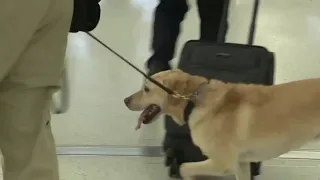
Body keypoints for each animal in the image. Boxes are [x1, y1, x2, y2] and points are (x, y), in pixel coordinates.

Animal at [124, 69, 320, 180]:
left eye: (146, 89)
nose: (125, 100)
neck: (194, 102)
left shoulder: (222, 164)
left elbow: (184, 167)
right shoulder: (241, 164)